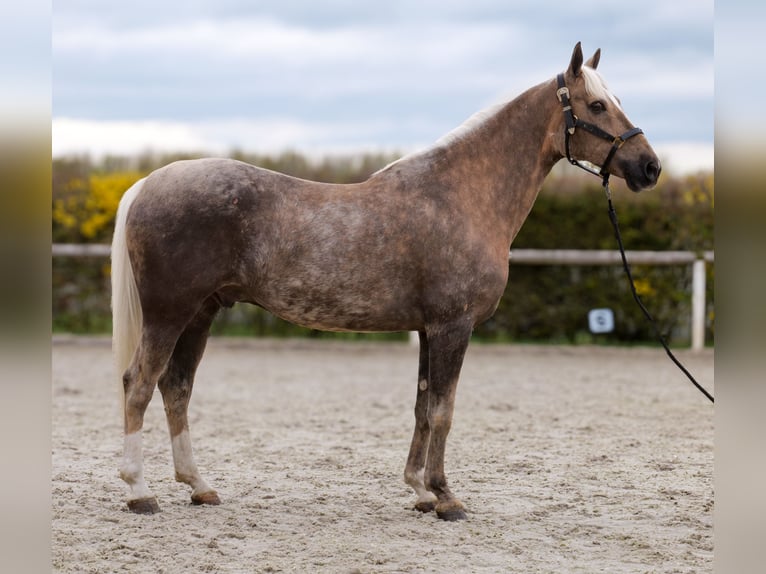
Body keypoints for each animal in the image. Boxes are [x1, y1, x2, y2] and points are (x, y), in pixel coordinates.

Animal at [111, 42, 660, 520]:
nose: (650, 167)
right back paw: (140, 492)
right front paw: (446, 497)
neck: (461, 195)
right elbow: (443, 410)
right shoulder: (452, 327)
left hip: (200, 313)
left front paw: (419, 491)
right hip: (169, 313)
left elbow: (422, 407)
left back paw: (199, 487)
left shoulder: (428, 330)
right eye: (596, 105)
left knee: (177, 388)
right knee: (139, 384)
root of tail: (147, 183)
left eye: (616, 100)